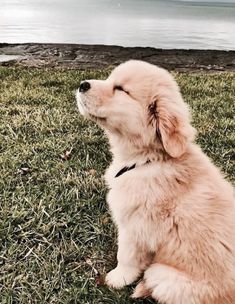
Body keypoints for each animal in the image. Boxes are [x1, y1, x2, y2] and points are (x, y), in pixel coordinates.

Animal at [76, 60, 235, 304]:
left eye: (121, 89)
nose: (82, 84)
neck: (149, 159)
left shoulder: (133, 227)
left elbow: (126, 256)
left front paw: (116, 278)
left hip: (162, 274)